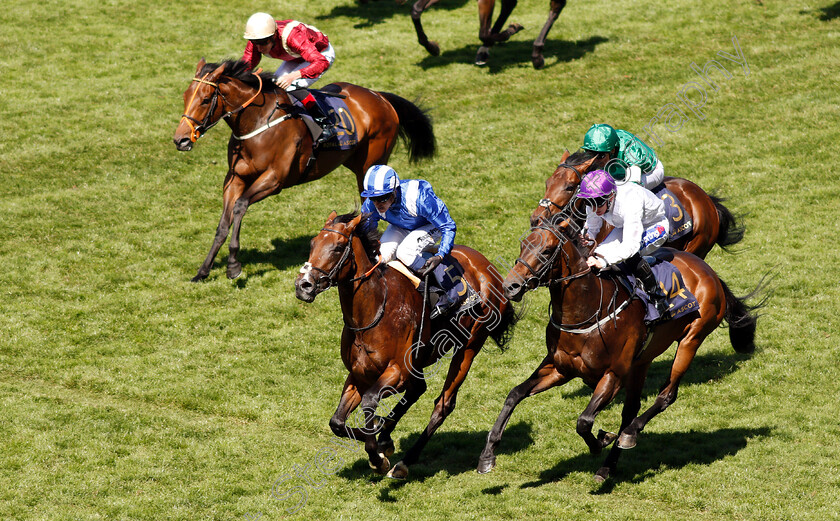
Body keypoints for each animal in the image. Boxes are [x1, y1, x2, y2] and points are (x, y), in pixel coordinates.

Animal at [171, 58, 434, 280]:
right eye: (185, 96)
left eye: (205, 99)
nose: (180, 140)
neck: (256, 123)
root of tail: (380, 96)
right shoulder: (235, 178)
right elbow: (223, 224)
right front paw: (203, 270)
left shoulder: (274, 180)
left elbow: (240, 206)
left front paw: (234, 265)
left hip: (370, 163)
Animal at [296, 209, 520, 478]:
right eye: (312, 244)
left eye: (338, 247)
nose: (303, 285)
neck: (373, 311)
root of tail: (488, 267)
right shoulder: (360, 373)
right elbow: (337, 422)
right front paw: (381, 439)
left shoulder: (398, 371)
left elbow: (370, 403)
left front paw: (378, 455)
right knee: (418, 389)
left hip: (469, 346)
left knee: (443, 403)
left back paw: (405, 461)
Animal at [408, 0, 572, 67]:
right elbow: (416, 10)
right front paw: (432, 47)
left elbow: (483, 33)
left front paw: (511, 30)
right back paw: (483, 51)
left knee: (556, 8)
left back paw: (537, 54)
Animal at [476, 211, 764, 480]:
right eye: (523, 245)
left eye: (546, 250)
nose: (510, 286)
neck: (587, 310)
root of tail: (709, 271)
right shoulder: (560, 368)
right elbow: (514, 394)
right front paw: (487, 456)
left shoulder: (613, 374)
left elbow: (584, 421)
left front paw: (601, 440)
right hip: (641, 361)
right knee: (630, 410)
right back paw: (609, 465)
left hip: (691, 338)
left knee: (666, 395)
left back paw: (628, 435)